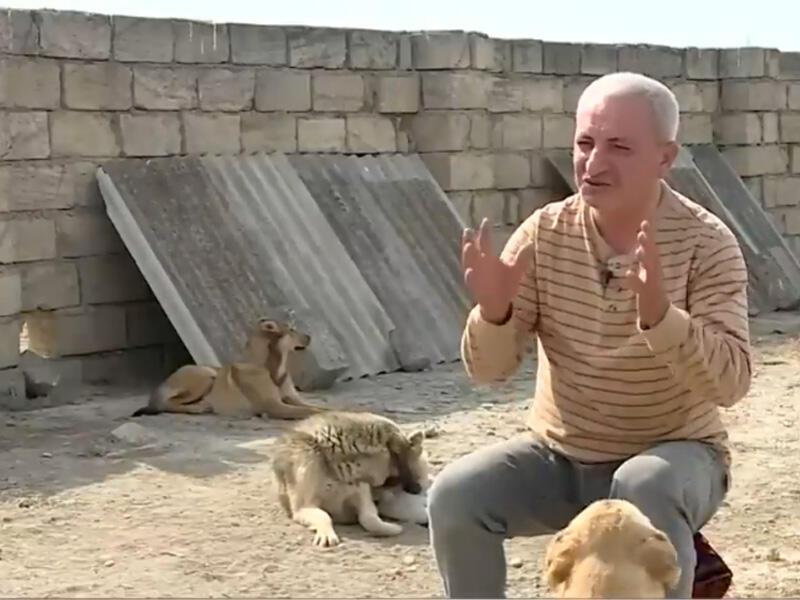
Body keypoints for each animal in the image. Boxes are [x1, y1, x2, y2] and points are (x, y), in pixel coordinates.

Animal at [131, 317, 327, 420]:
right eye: (292, 330)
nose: (309, 337)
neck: (272, 365)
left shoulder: (292, 399)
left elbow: (317, 407)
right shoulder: (274, 406)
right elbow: (311, 411)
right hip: (205, 376)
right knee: (166, 404)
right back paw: (197, 408)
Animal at [271, 410, 432, 547]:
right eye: (394, 479)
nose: (416, 489)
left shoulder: (362, 491)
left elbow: (369, 518)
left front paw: (391, 528)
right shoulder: (303, 507)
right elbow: (324, 516)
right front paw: (327, 533)